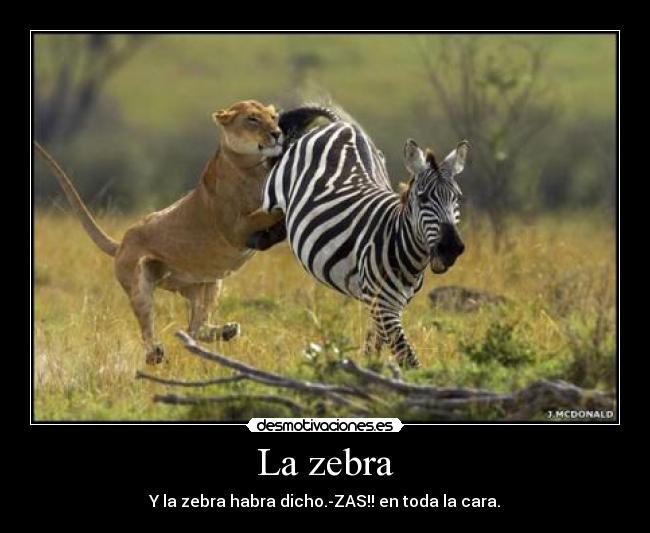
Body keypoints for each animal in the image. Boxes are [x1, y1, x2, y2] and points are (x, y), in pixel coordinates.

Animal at [251, 113, 469, 368]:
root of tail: (342, 124)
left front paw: (368, 369)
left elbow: (373, 346)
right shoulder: (383, 305)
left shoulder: (389, 305)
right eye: (423, 198)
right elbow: (408, 359)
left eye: (457, 198)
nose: (451, 248)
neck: (400, 243)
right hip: (271, 192)